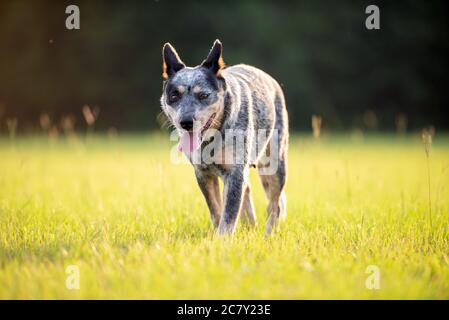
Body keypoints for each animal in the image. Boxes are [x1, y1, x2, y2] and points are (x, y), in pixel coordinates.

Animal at [159, 39, 288, 235]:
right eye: (175, 95)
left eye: (203, 95)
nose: (186, 122)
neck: (212, 140)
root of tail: (270, 79)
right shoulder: (203, 174)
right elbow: (217, 212)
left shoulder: (235, 172)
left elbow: (228, 216)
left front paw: (222, 240)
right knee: (248, 193)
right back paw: (251, 228)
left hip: (273, 165)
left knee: (275, 204)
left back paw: (269, 234)